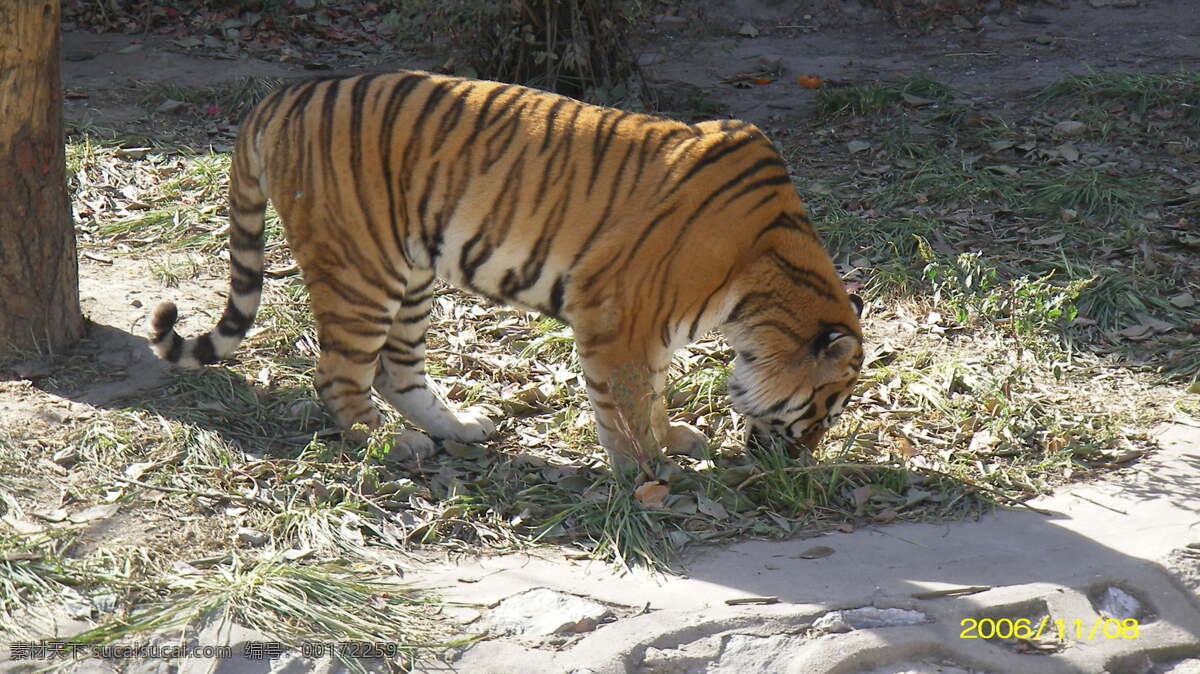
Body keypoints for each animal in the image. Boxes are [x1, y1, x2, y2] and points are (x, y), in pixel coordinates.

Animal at [147, 69, 864, 467]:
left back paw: (460, 427)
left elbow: (654, 392)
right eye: (824, 407)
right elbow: (628, 404)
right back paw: (389, 445)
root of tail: (282, 94)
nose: (799, 464)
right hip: (360, 271)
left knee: (396, 370)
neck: (760, 294)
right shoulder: (619, 319)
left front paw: (674, 440)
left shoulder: (650, 329)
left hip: (411, 273)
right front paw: (647, 476)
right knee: (338, 374)